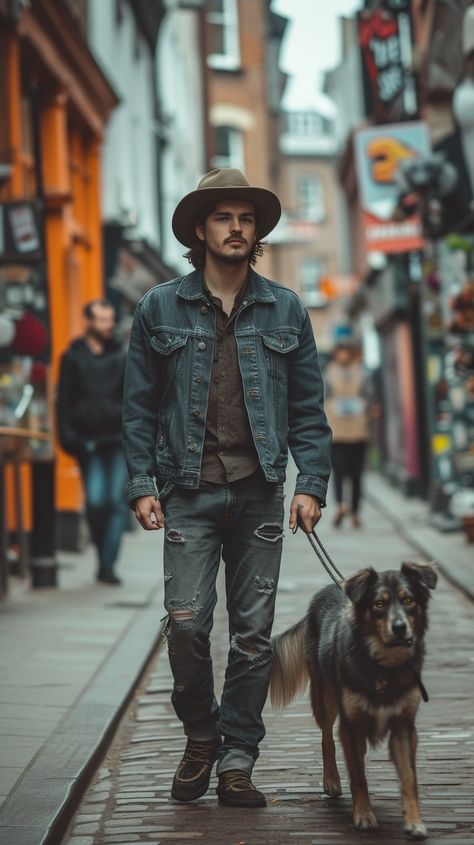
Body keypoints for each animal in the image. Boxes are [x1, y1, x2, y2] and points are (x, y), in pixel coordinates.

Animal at [270, 560, 436, 836]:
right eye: (379, 604)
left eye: (409, 600)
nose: (400, 628)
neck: (383, 665)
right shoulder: (351, 724)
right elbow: (358, 776)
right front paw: (364, 815)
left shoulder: (403, 726)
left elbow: (409, 778)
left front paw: (415, 822)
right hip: (324, 697)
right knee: (327, 737)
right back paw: (332, 780)